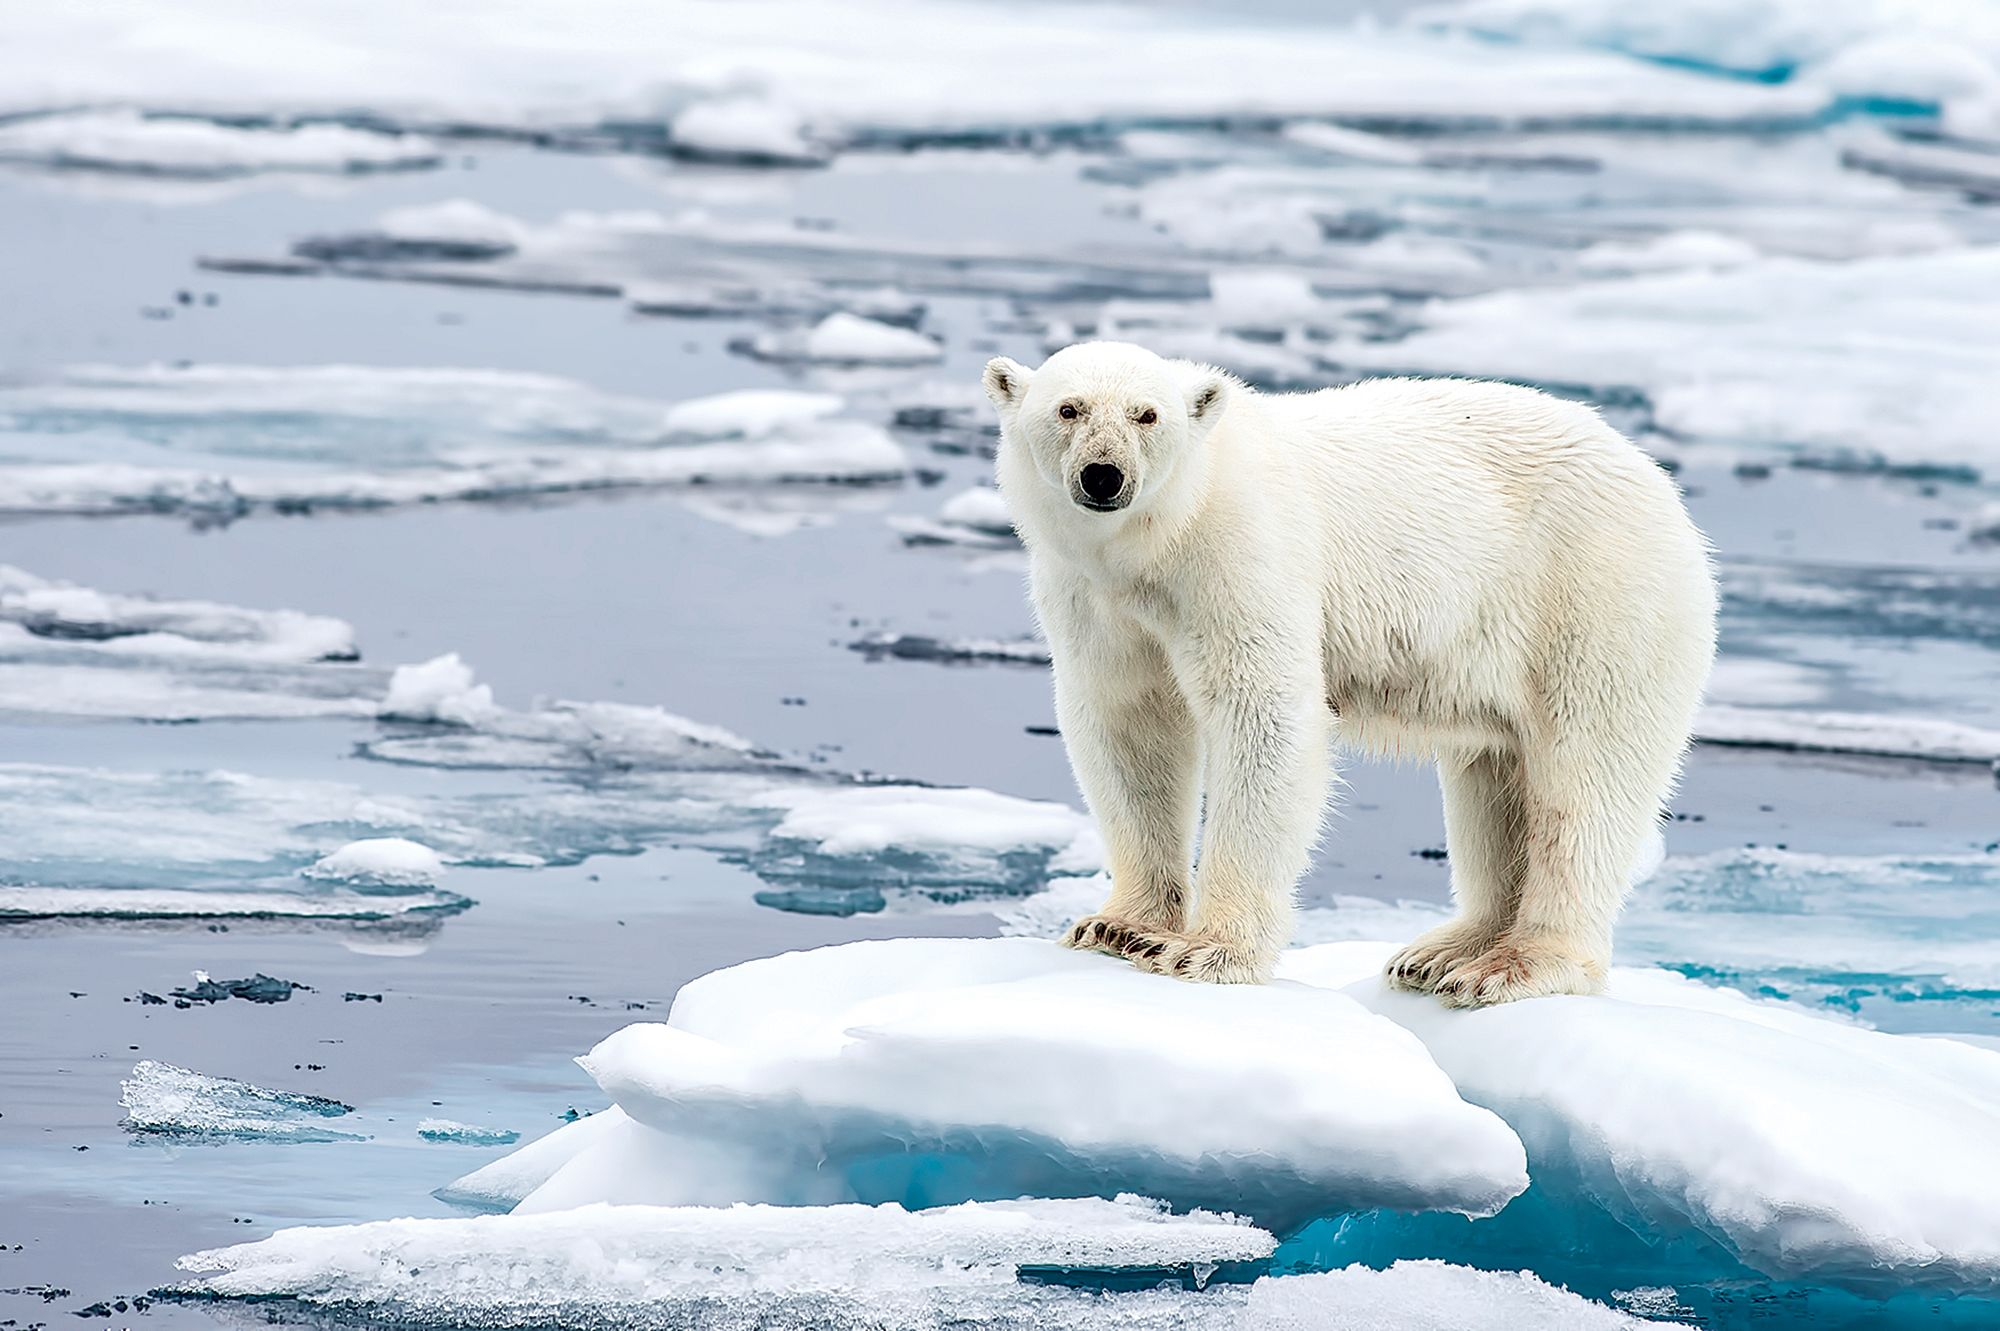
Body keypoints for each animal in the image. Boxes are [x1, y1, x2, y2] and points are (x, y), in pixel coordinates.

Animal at [984, 337, 1720, 999]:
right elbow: (1128, 726)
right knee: (1498, 776)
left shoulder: (1240, 558)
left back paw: (1515, 964)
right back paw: (1442, 954)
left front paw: (1207, 950)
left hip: (1595, 597)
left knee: (1586, 776)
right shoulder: (1094, 599)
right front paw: (1117, 927)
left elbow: (1265, 716)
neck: (1159, 540)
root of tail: (1662, 488)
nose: (1103, 476)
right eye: (1069, 408)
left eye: (1147, 415)